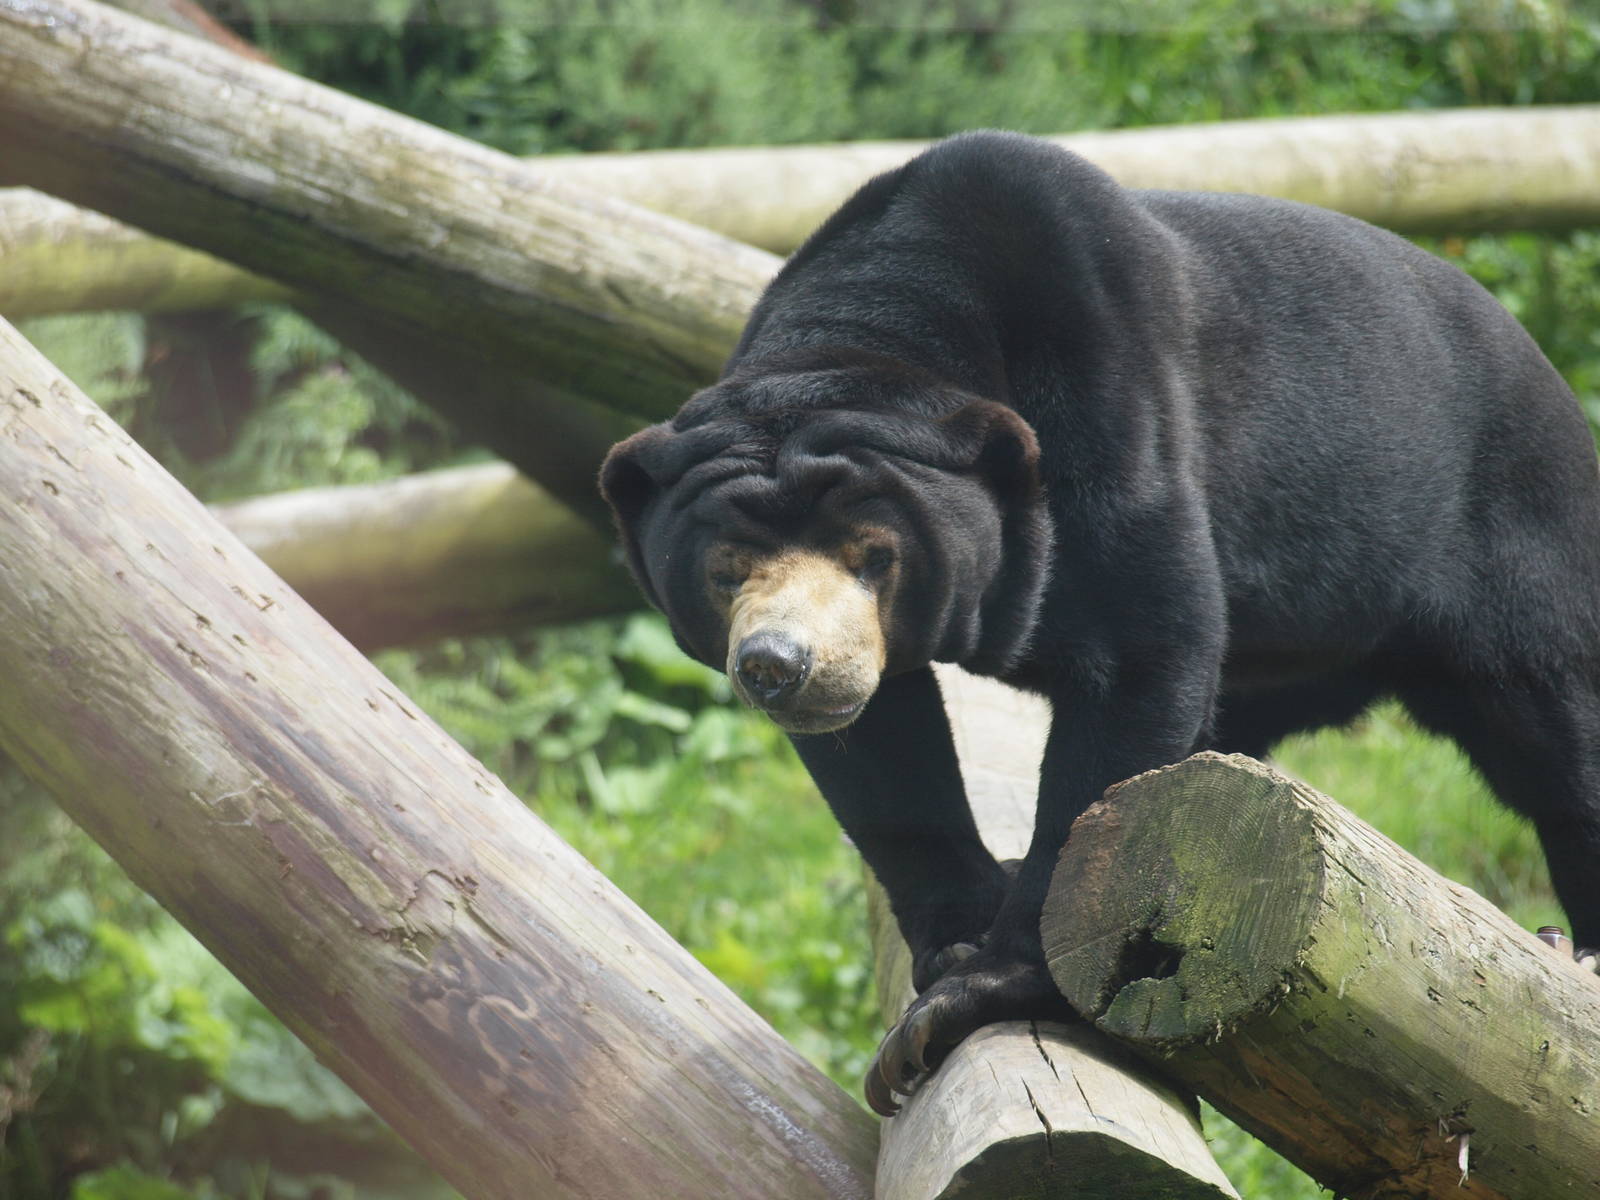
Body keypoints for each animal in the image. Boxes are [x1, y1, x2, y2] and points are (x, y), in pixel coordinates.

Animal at [599, 130, 1600, 1115]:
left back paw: (1572, 944)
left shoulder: (1110, 402)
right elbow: (887, 752)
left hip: (1516, 529)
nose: (781, 666)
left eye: (873, 555)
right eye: (725, 571)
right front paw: (954, 937)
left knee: (1556, 731)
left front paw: (975, 994)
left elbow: (1135, 664)